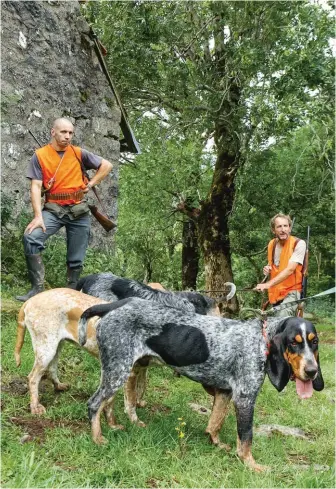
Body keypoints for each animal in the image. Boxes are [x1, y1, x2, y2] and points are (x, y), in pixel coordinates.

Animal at [79, 298, 322, 472]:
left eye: (314, 342)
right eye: (293, 343)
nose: (312, 372)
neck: (261, 339)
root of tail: (116, 305)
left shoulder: (225, 392)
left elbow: (215, 422)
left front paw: (216, 443)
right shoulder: (245, 398)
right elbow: (246, 438)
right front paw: (250, 464)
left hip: (120, 369)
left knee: (108, 402)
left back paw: (112, 426)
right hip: (117, 371)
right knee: (94, 404)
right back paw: (98, 438)